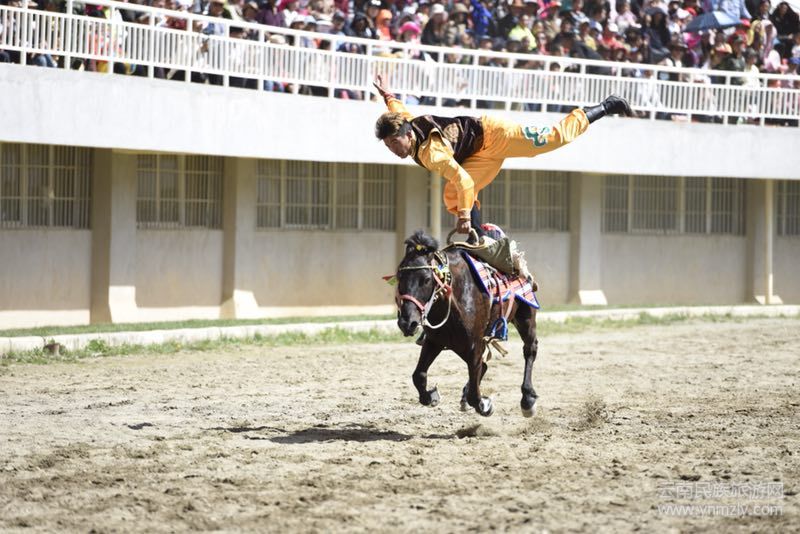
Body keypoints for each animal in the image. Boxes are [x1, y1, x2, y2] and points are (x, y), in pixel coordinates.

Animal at [393, 230, 539, 417]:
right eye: (399, 277)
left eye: (426, 279)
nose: (407, 322)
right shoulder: (435, 341)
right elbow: (418, 375)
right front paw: (432, 396)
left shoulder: (474, 344)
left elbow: (475, 394)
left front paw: (485, 404)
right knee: (483, 366)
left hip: (525, 318)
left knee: (530, 349)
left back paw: (527, 399)